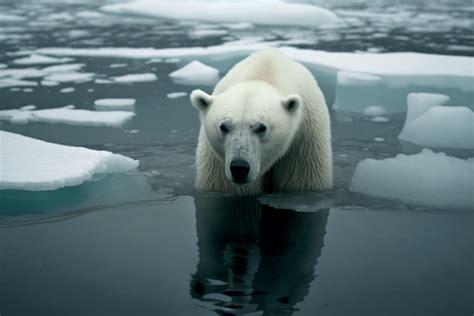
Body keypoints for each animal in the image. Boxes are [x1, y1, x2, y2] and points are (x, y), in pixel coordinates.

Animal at [190, 48, 334, 195]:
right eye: (223, 126)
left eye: (262, 127)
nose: (239, 168)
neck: (264, 74)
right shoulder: (217, 162)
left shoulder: (304, 144)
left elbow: (301, 181)